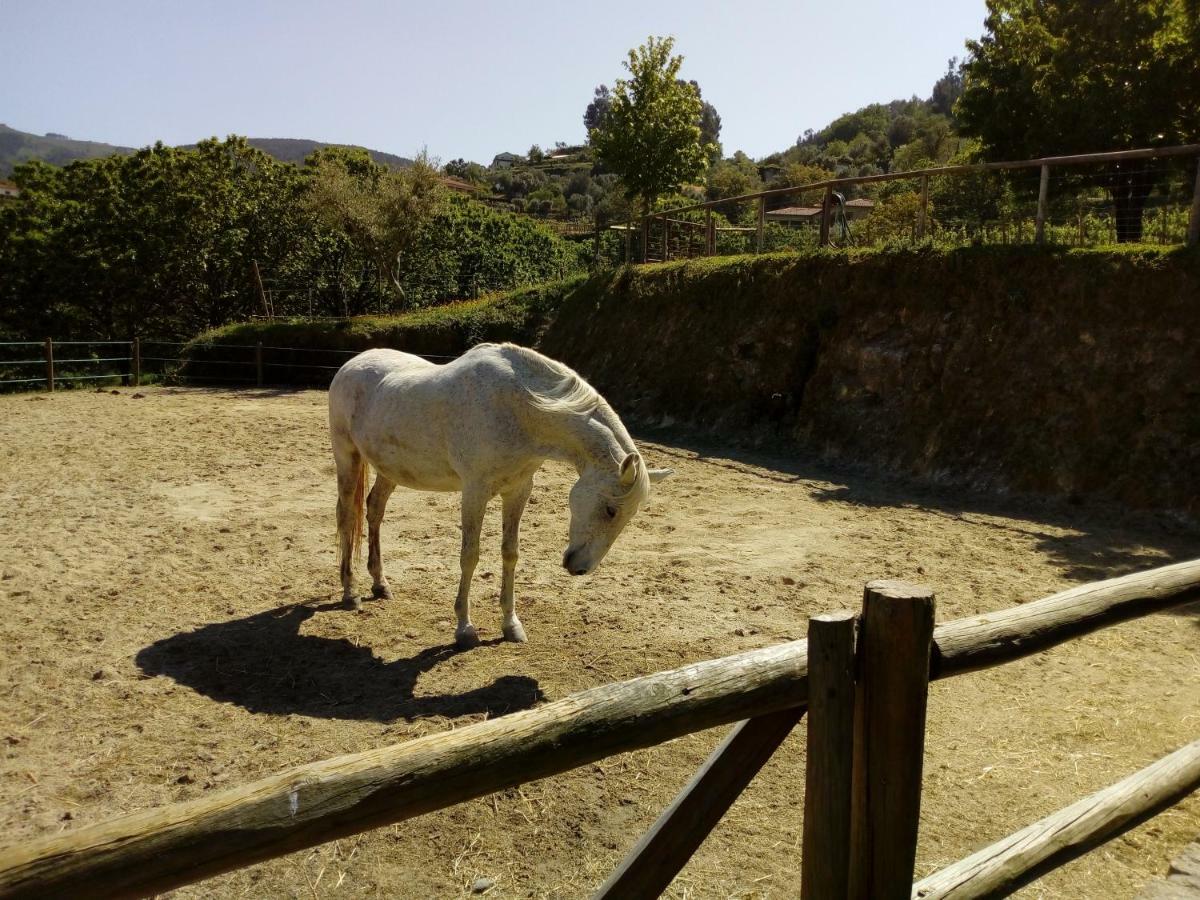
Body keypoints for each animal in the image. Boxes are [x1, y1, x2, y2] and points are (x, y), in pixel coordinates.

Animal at [328, 343, 672, 648]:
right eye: (611, 510)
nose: (579, 568)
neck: (519, 408)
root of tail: (351, 364)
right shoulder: (475, 492)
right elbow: (470, 555)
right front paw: (465, 629)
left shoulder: (518, 490)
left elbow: (510, 552)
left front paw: (511, 626)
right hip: (347, 458)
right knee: (346, 515)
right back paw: (350, 592)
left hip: (389, 470)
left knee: (374, 509)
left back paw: (380, 584)